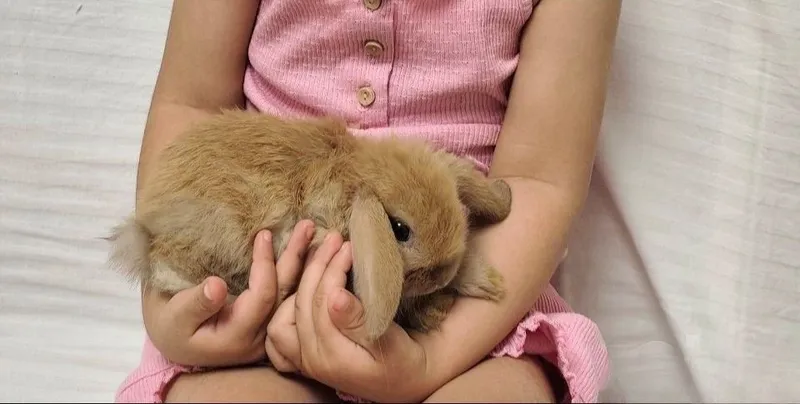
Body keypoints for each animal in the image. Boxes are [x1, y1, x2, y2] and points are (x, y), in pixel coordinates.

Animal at [107, 109, 512, 341]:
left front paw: (487, 284)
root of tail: (145, 226)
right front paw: (435, 310)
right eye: (399, 229)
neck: (353, 181)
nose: (442, 275)